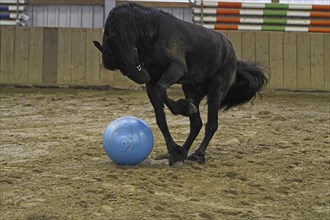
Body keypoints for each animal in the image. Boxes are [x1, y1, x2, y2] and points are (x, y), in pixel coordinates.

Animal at [93, 3, 268, 166]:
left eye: (128, 51)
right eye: (120, 68)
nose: (143, 77)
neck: (154, 33)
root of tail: (232, 55)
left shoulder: (177, 68)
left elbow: (161, 90)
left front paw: (184, 108)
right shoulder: (153, 82)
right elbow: (161, 118)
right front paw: (173, 149)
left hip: (216, 90)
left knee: (211, 124)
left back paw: (198, 154)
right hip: (192, 88)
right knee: (196, 124)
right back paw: (182, 152)